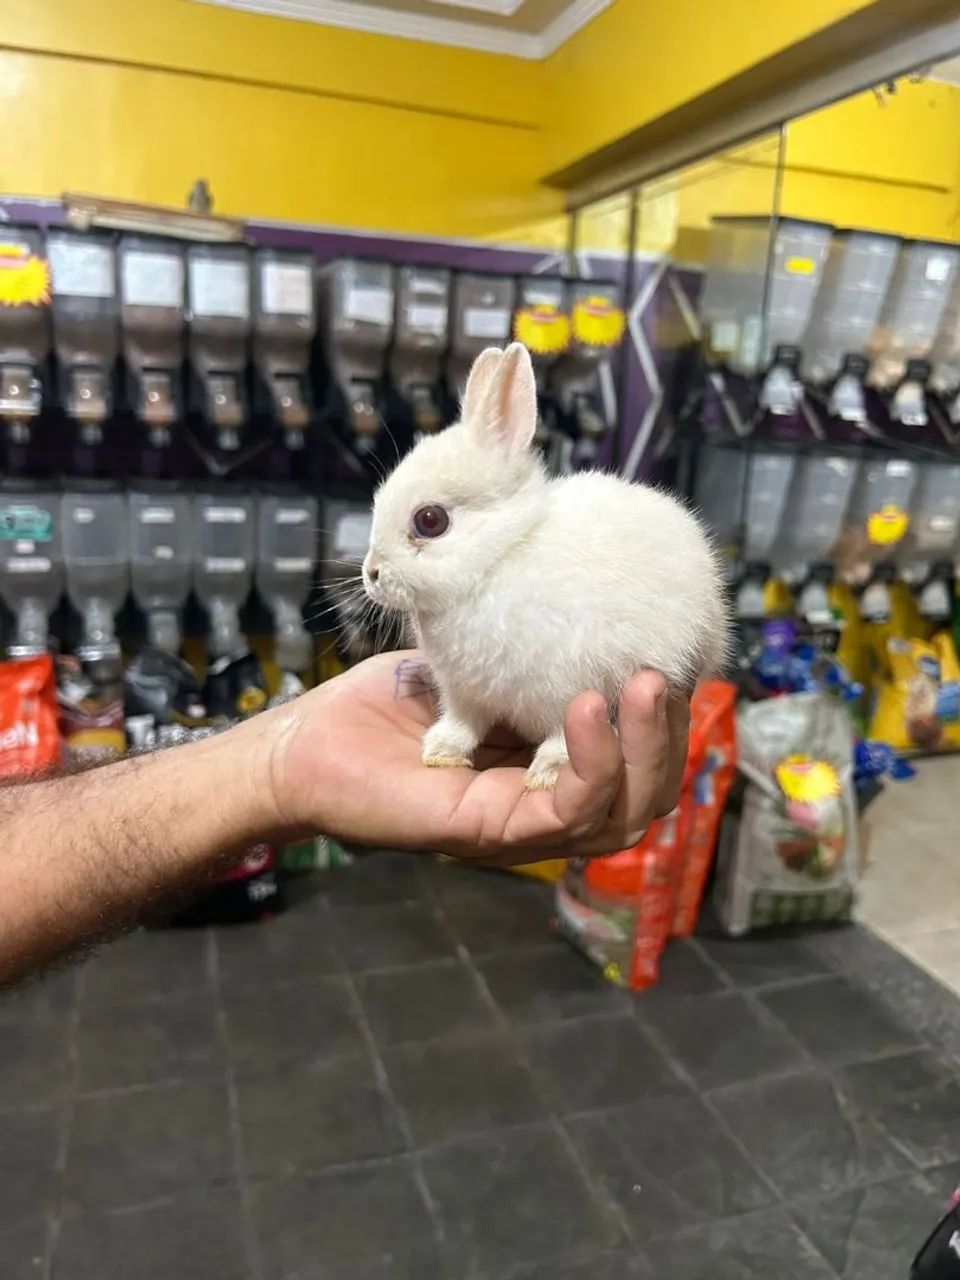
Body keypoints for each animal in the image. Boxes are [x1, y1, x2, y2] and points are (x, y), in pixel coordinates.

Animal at [362, 342, 729, 790]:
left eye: (430, 521)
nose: (371, 574)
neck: (498, 559)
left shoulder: (570, 688)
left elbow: (562, 735)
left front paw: (547, 773)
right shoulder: (465, 694)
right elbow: (464, 723)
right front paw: (441, 752)